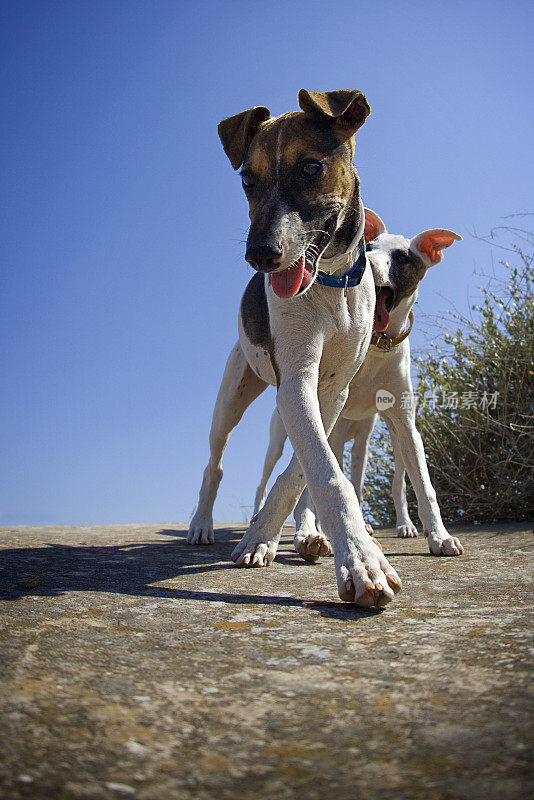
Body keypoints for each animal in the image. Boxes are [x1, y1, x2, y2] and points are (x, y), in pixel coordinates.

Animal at [188, 89, 402, 608]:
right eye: (247, 179)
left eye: (310, 167)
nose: (260, 256)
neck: (330, 284)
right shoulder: (296, 381)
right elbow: (326, 474)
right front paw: (362, 563)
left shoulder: (332, 389)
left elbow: (305, 470)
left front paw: (268, 534)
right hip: (231, 397)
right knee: (213, 464)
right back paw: (201, 524)